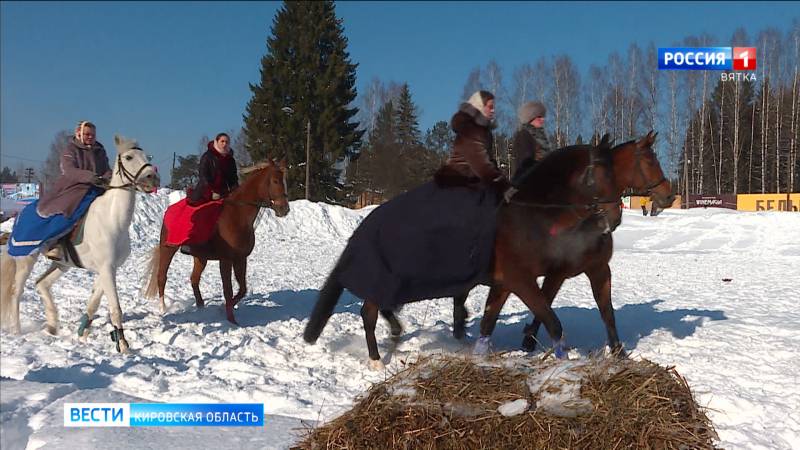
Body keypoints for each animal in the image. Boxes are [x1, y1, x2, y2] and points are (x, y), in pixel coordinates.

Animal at [0, 135, 159, 354]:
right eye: (128, 157)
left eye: (147, 156)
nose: (152, 178)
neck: (113, 220)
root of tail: (19, 215)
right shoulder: (106, 269)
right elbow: (115, 308)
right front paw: (123, 344)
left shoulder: (108, 269)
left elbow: (94, 302)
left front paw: (83, 330)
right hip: (26, 260)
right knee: (17, 292)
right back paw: (17, 330)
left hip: (62, 264)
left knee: (42, 283)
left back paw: (52, 325)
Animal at [144, 158, 290, 324]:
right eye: (275, 181)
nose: (284, 209)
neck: (237, 216)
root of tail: (169, 210)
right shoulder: (225, 260)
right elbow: (228, 290)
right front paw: (230, 319)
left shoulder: (240, 259)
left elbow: (242, 290)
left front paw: (224, 309)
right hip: (168, 249)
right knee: (162, 277)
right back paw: (163, 308)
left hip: (200, 257)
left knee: (194, 279)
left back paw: (201, 306)